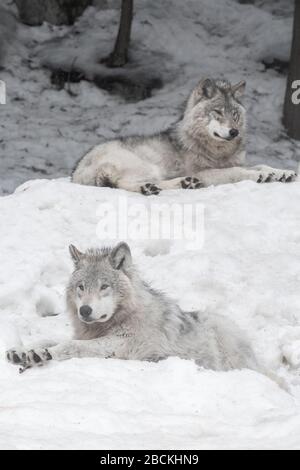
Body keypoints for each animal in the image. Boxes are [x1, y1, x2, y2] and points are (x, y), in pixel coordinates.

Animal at [71, 78, 296, 196]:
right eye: (217, 112)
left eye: (234, 114)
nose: (234, 132)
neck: (217, 150)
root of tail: (77, 172)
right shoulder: (205, 172)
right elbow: (239, 171)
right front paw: (260, 176)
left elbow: (262, 165)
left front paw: (281, 173)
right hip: (147, 166)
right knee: (122, 185)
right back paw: (155, 187)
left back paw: (181, 184)